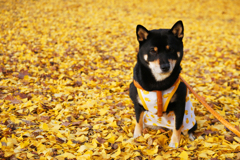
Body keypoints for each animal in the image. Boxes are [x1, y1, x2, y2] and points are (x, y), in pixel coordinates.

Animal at [129, 20, 197, 148]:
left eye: (170, 49)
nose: (165, 67)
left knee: (188, 130)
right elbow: (138, 121)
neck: (158, 84)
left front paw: (174, 143)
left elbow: (177, 127)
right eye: (152, 50)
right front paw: (137, 136)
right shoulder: (137, 104)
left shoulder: (180, 106)